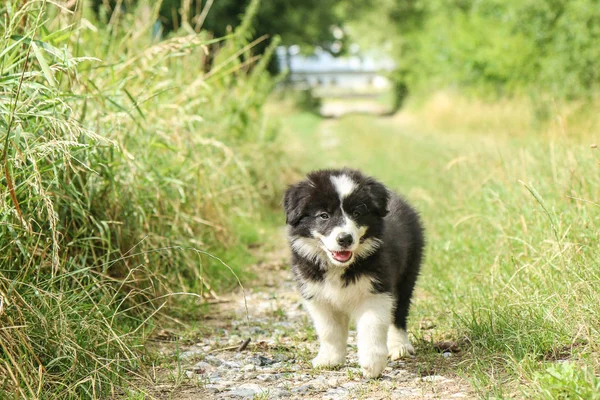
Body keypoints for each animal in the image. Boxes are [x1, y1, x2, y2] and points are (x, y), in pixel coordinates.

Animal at [284, 168, 424, 378]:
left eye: (357, 213)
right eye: (323, 215)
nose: (345, 239)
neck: (338, 267)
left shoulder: (377, 290)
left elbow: (371, 325)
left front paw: (372, 364)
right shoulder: (317, 295)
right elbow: (328, 330)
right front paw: (329, 359)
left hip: (408, 272)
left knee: (399, 312)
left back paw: (399, 346)